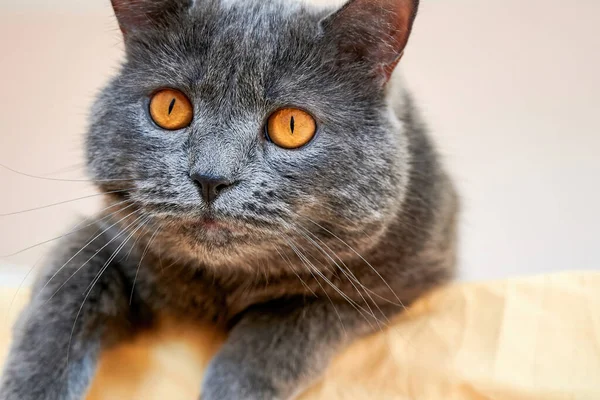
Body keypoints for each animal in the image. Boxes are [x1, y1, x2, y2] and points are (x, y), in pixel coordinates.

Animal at [1, 0, 460, 398]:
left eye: (292, 125)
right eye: (170, 107)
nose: (210, 178)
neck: (222, 285)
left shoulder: (395, 283)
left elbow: (279, 328)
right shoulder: (107, 232)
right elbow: (61, 301)